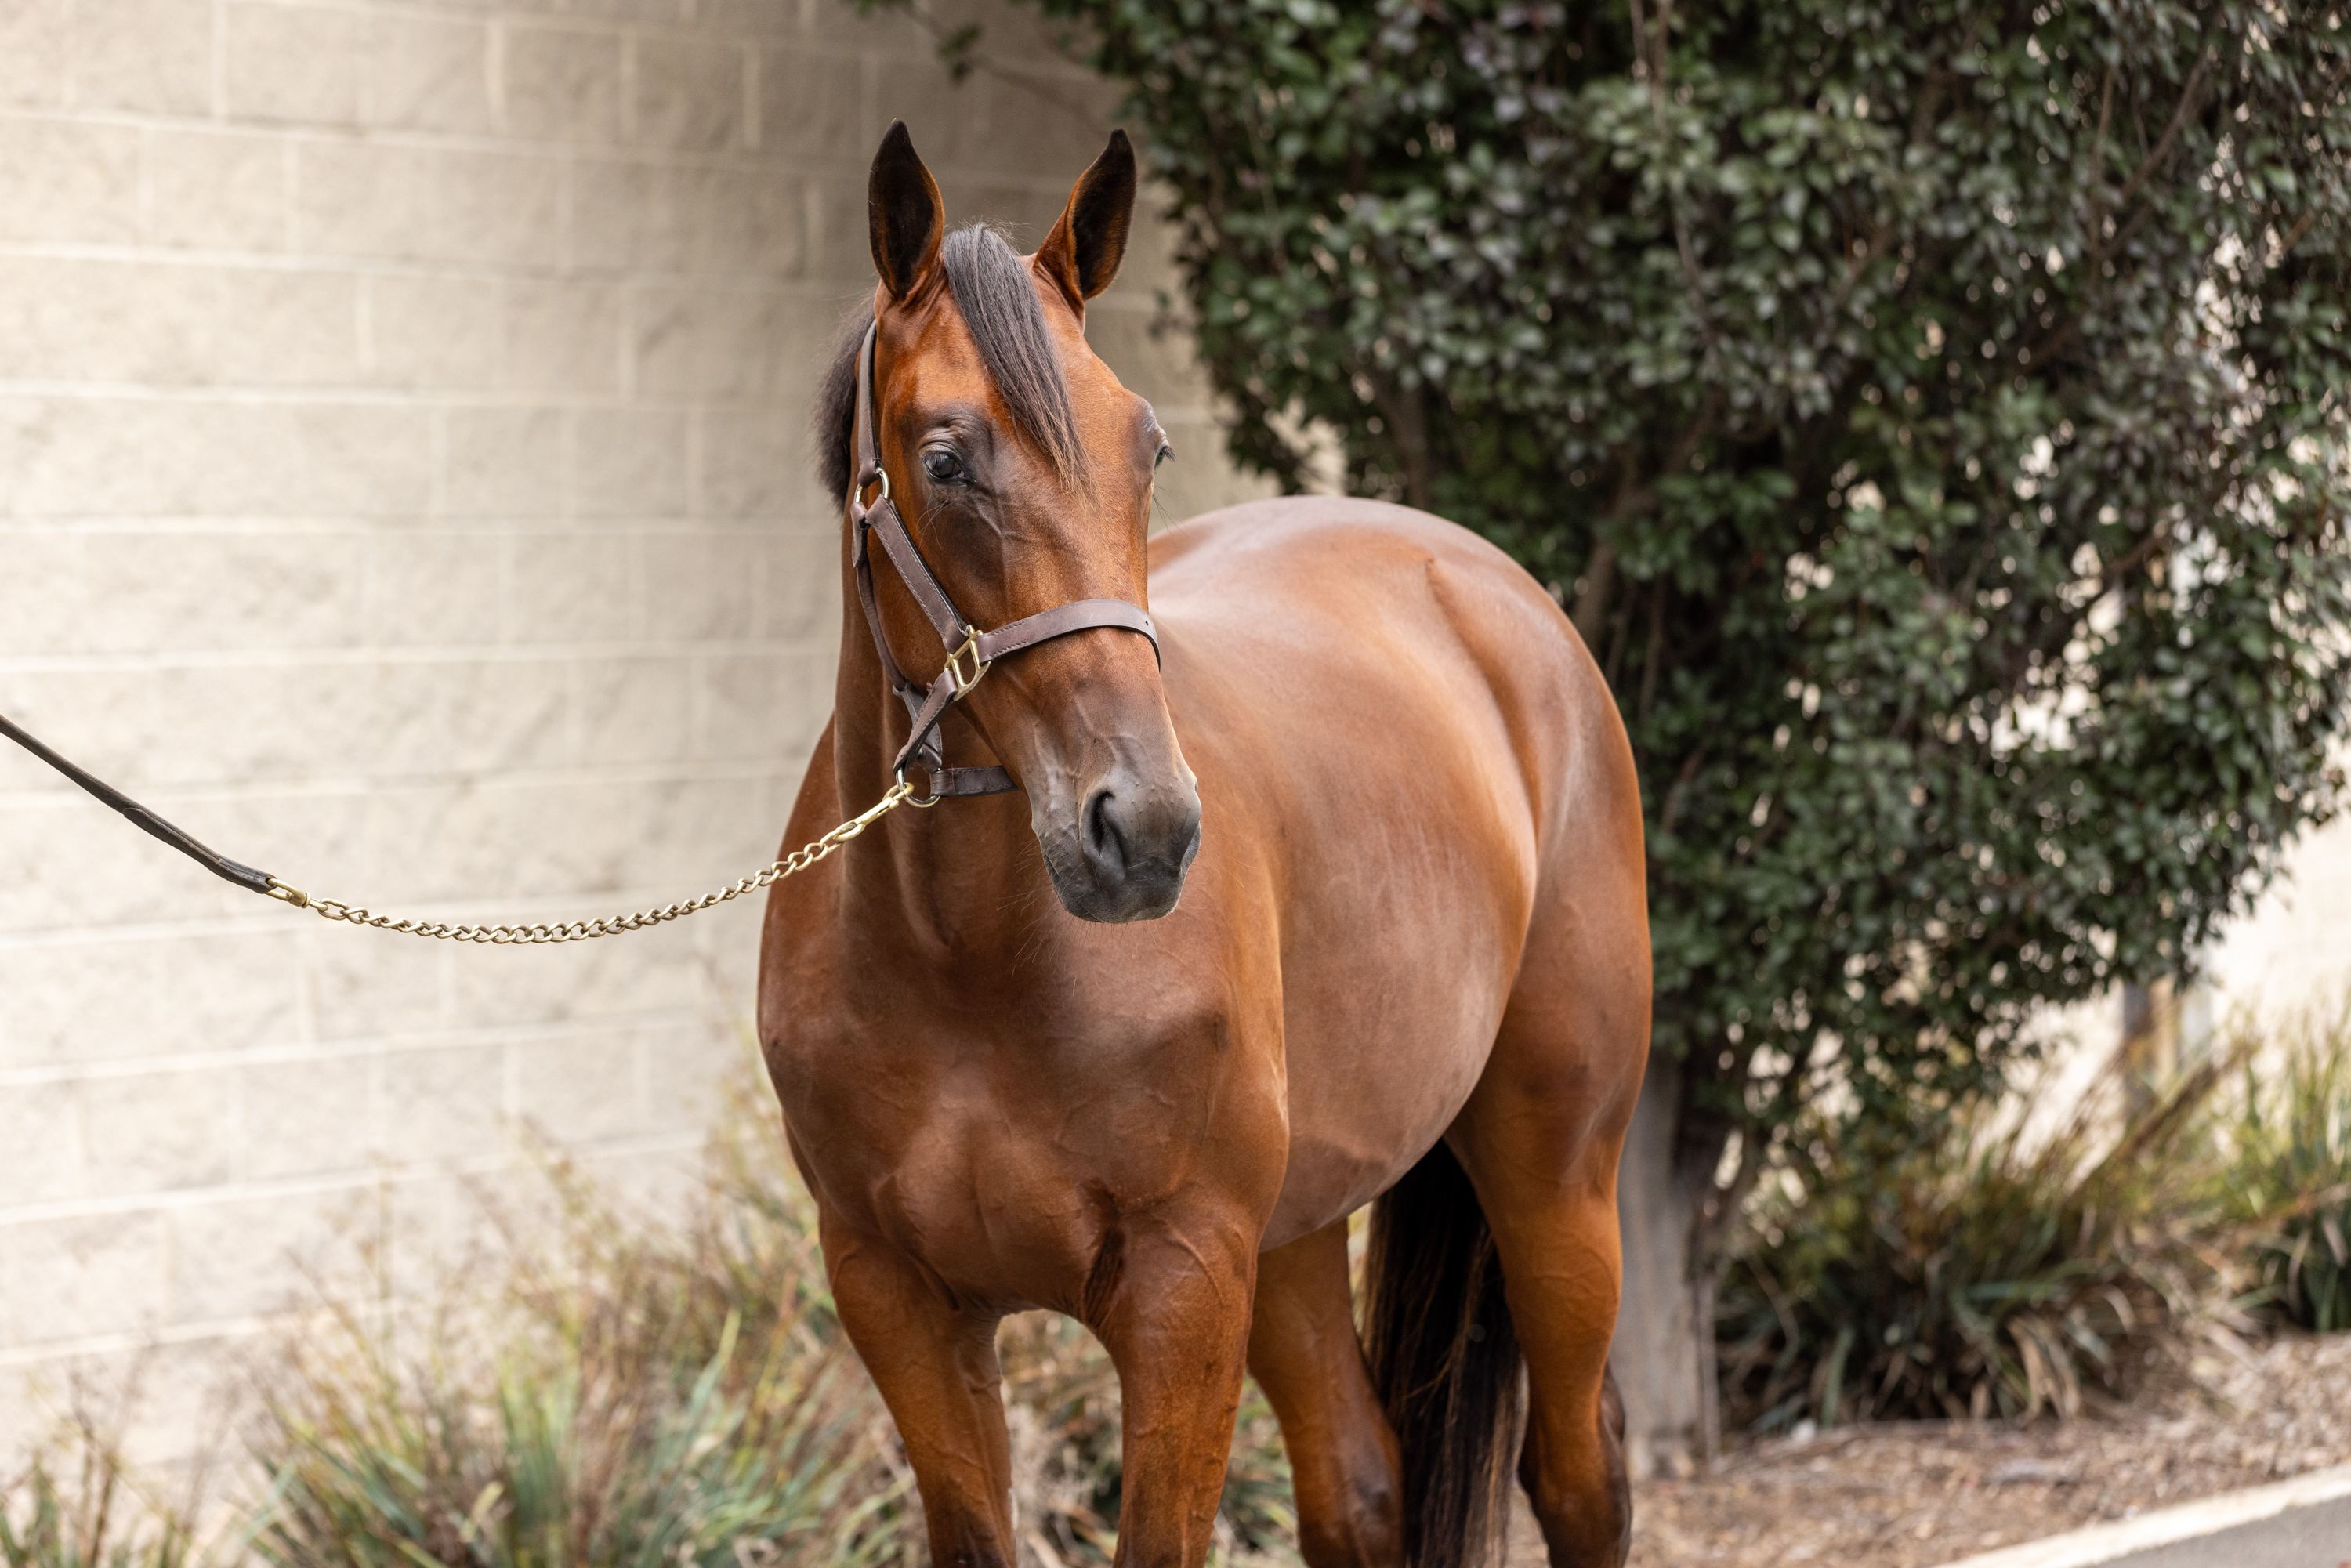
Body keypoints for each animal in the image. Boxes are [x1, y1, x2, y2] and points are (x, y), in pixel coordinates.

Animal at [756, 122, 1650, 1568]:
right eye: (943, 459)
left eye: (1150, 452)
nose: (1147, 830)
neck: (969, 963)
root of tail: (1496, 592)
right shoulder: (898, 1299)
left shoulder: (1181, 1290)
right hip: (1296, 1231)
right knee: (1360, 1488)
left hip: (1557, 1174)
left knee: (1579, 1472)